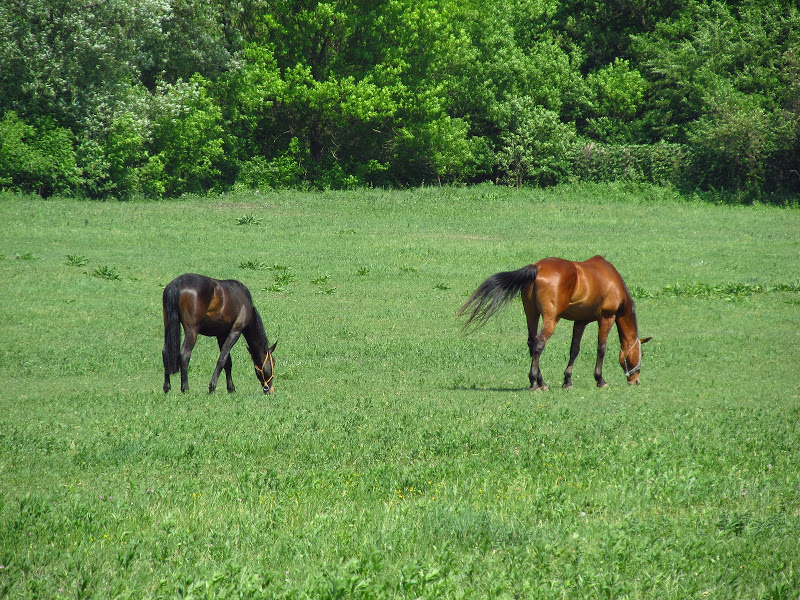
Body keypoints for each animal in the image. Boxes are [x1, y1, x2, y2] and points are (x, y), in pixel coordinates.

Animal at [460, 256, 652, 390]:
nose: (635, 381)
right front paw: (600, 379)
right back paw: (534, 382)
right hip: (551, 319)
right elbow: (601, 349)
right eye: (641, 354)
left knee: (531, 342)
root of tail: (537, 267)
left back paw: (541, 382)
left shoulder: (580, 321)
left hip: (531, 313)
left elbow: (574, 349)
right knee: (539, 343)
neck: (612, 281)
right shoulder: (607, 317)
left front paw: (567, 380)